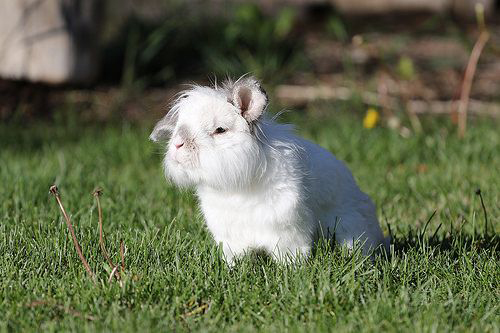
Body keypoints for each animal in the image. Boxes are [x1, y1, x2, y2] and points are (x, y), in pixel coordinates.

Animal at [150, 76, 388, 264]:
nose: (178, 144)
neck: (237, 184)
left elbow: (292, 254)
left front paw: (292, 271)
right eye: (180, 126)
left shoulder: (288, 231)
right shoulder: (230, 238)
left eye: (220, 130)